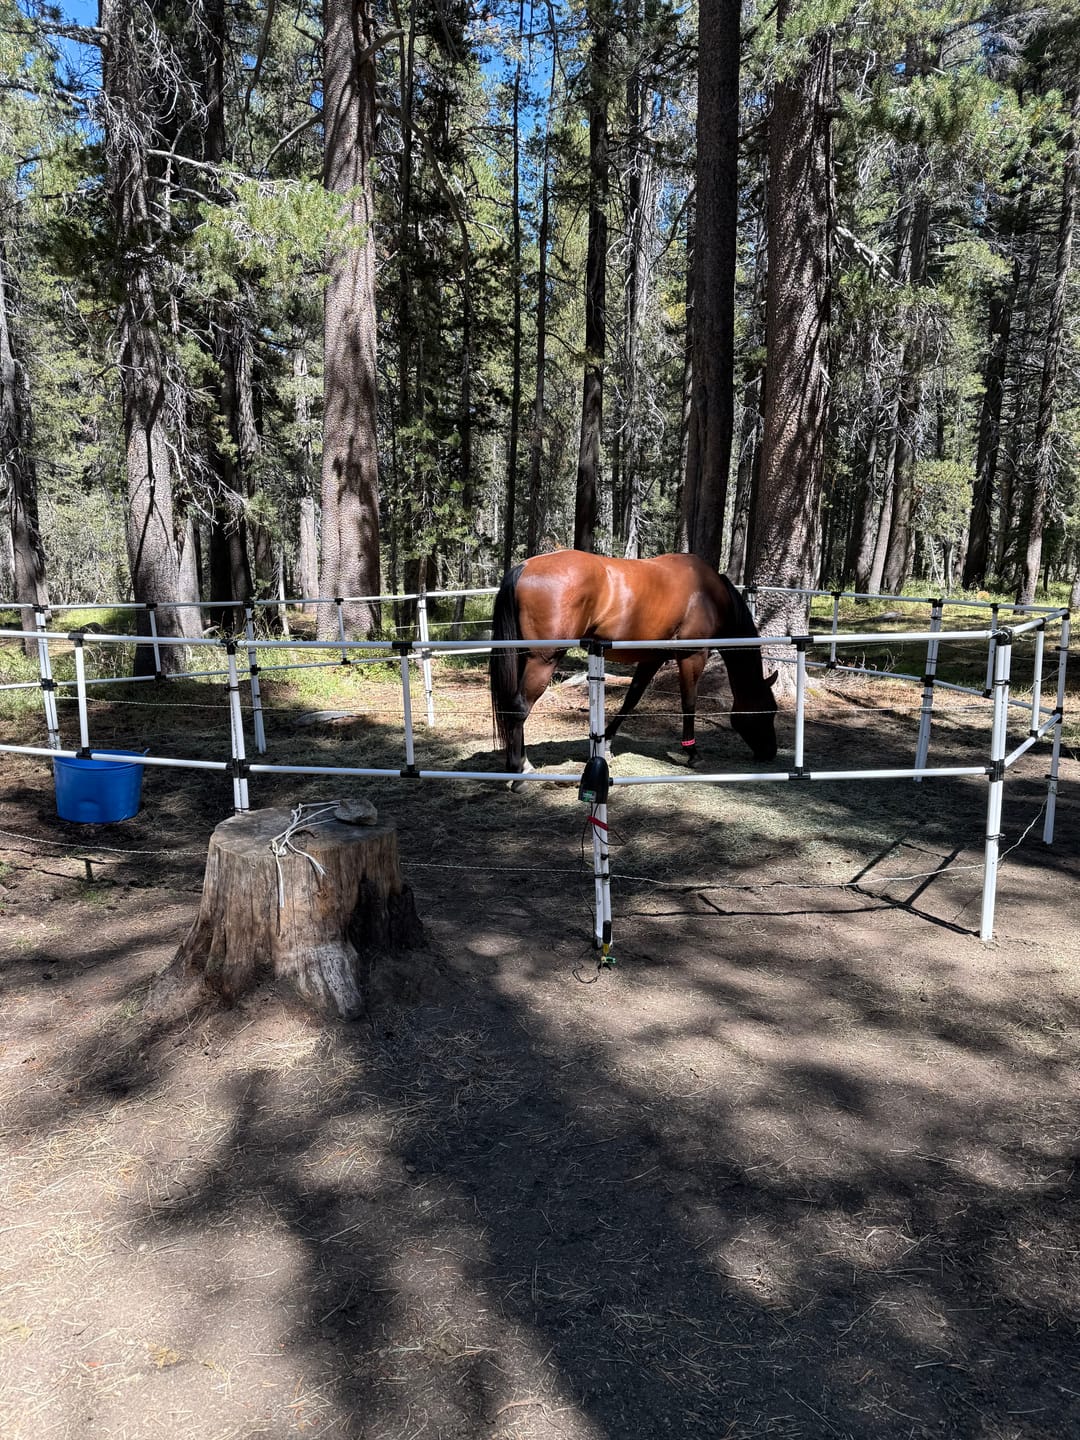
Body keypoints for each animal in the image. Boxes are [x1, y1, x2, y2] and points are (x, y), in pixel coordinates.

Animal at [489, 550, 778, 787]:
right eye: (769, 710)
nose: (770, 753)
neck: (708, 594)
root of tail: (524, 567)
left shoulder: (652, 658)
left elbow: (632, 699)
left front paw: (606, 743)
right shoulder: (692, 656)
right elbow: (689, 703)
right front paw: (692, 753)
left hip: (526, 658)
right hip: (543, 660)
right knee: (519, 707)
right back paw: (520, 772)